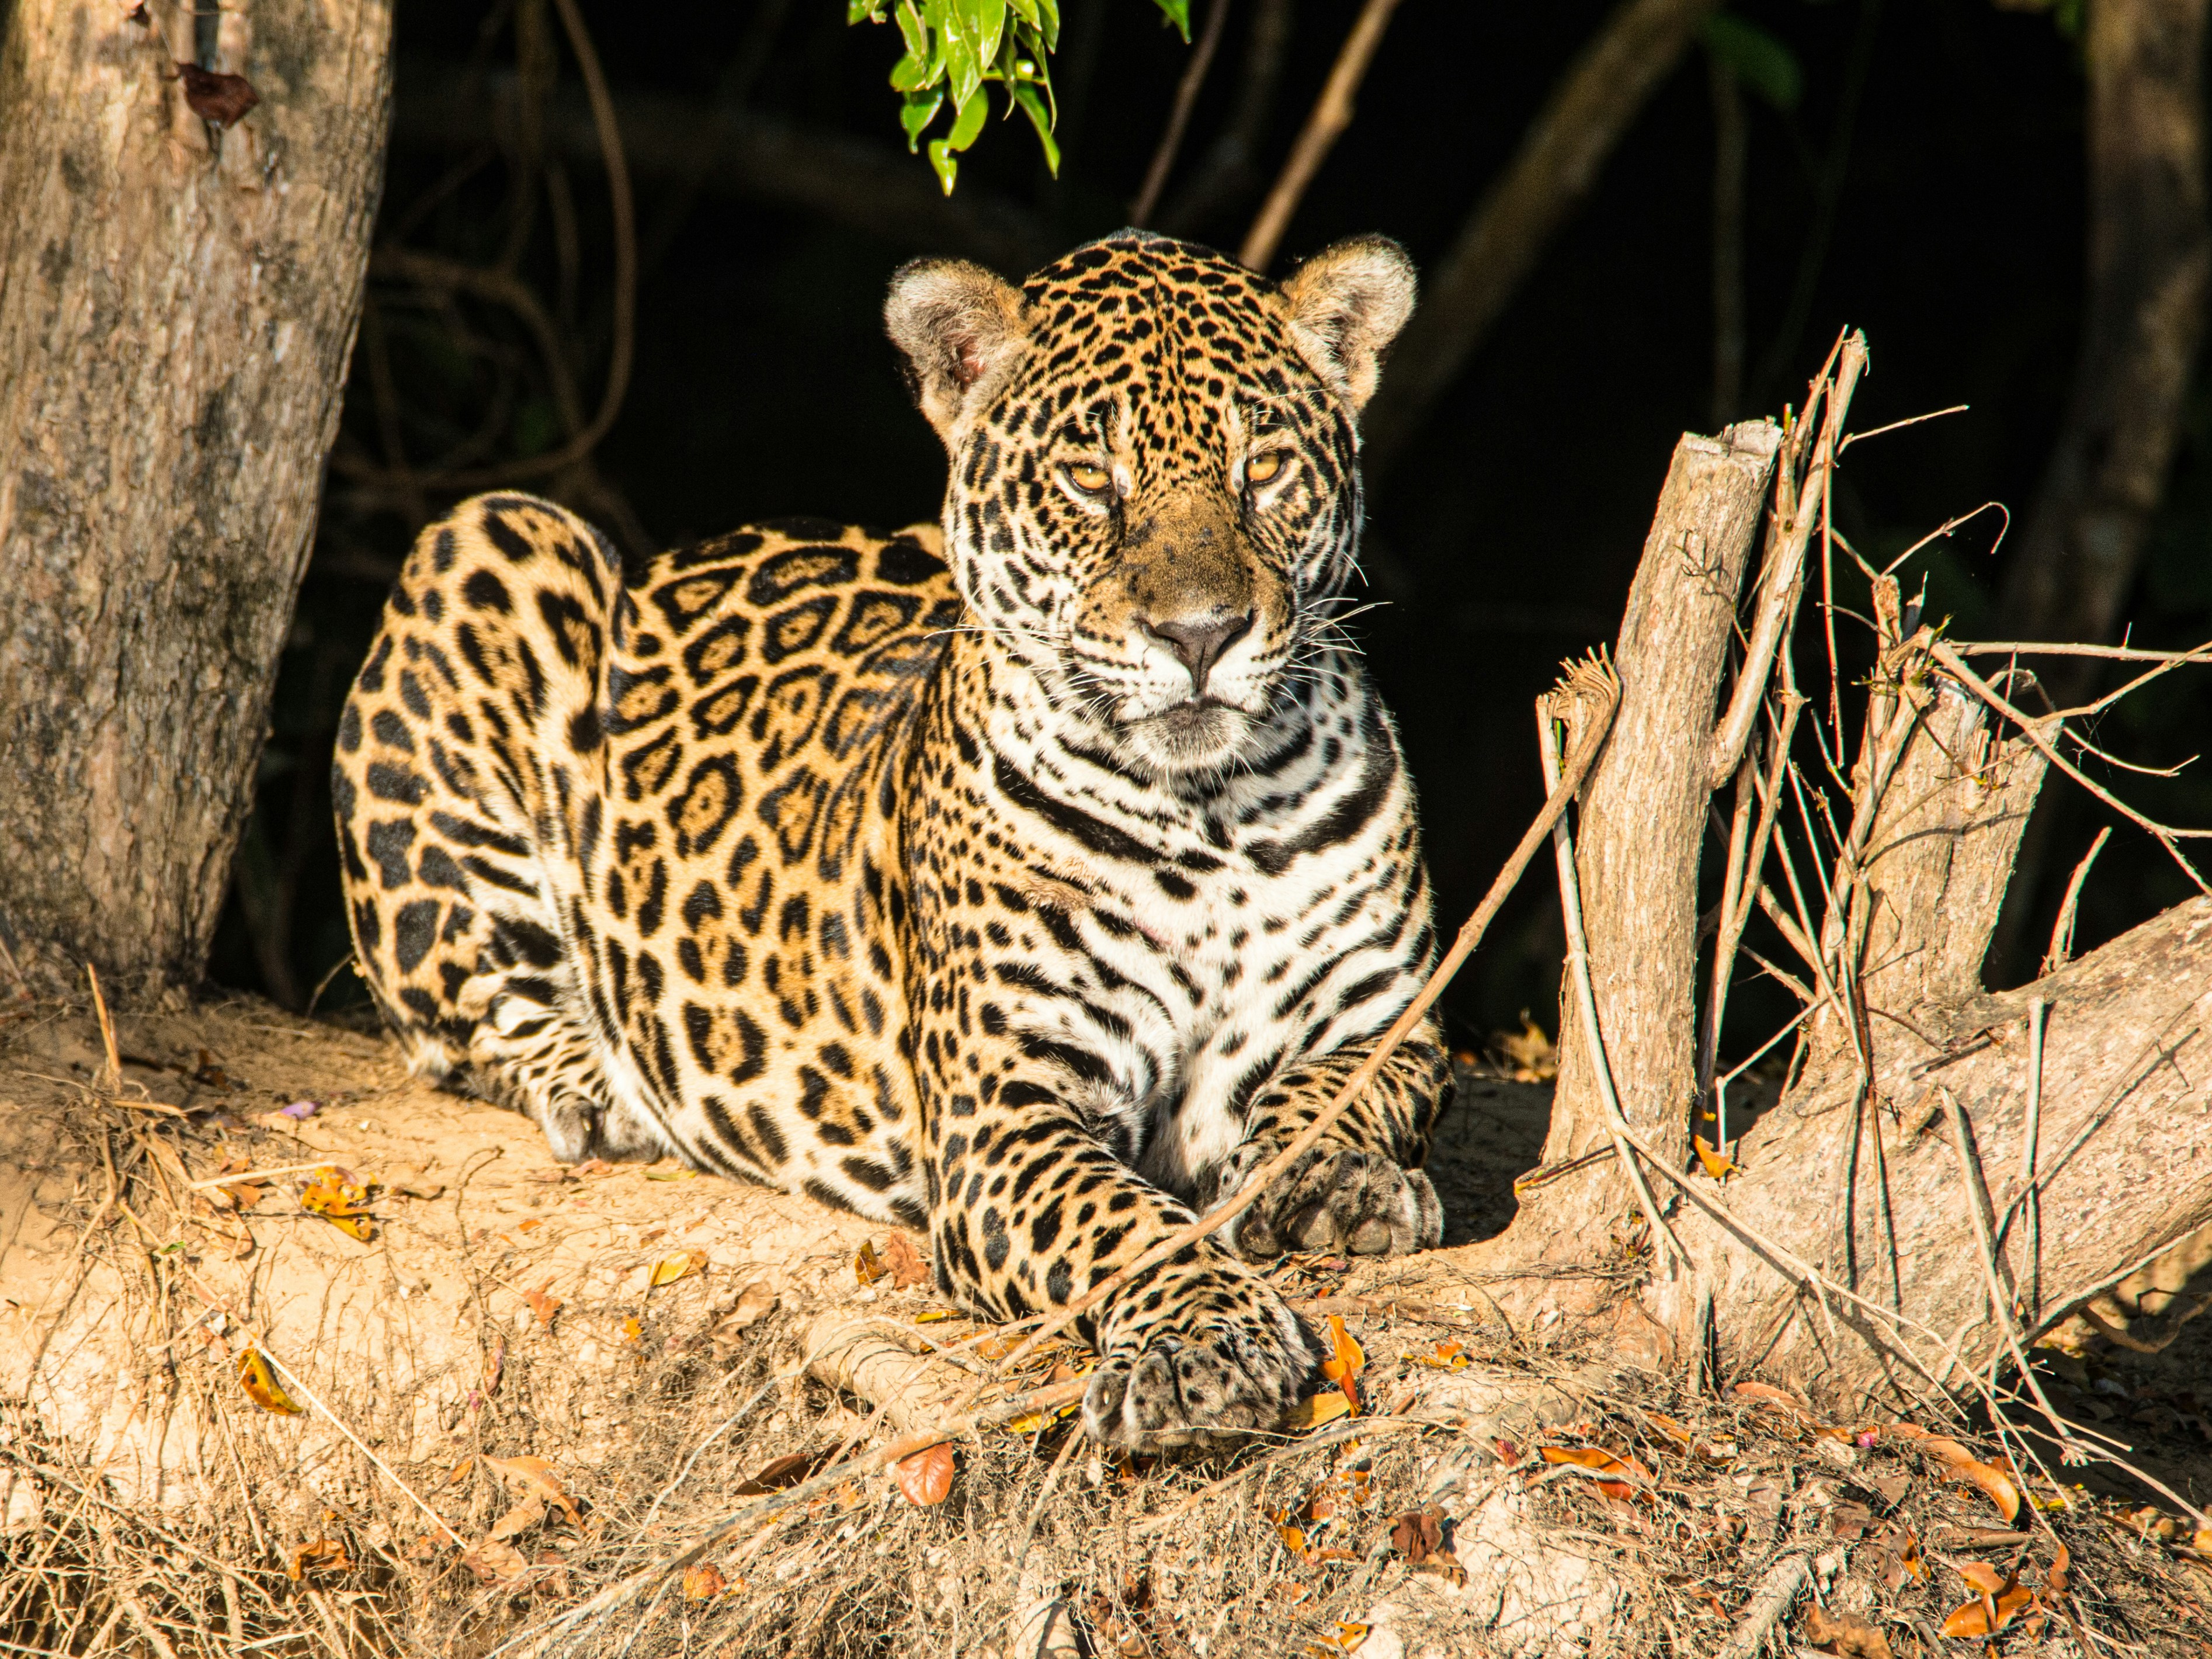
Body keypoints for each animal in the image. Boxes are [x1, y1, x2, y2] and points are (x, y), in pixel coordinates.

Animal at [332, 229, 1452, 1450]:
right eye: (1089, 481)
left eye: (1265, 471)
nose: (1200, 634)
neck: (1209, 814)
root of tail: (682, 552)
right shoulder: (1002, 1114)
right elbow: (1125, 1223)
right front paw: (1204, 1342)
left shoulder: (1395, 1021)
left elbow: (1343, 1089)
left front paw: (1332, 1180)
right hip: (491, 541)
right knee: (460, 1009)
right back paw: (601, 1086)